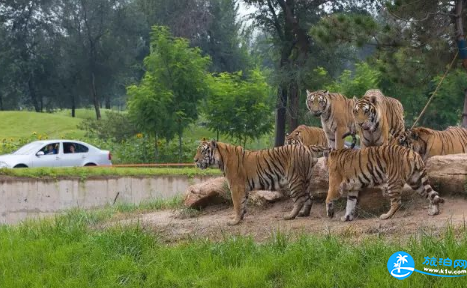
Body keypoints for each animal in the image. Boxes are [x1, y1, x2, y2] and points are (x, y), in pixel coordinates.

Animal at [318, 145, 446, 222]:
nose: (323, 167)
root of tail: (413, 153)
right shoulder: (352, 189)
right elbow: (350, 203)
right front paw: (347, 217)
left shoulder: (334, 185)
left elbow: (328, 199)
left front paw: (330, 213)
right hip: (416, 181)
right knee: (433, 194)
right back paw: (434, 211)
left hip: (393, 181)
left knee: (396, 202)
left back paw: (385, 216)